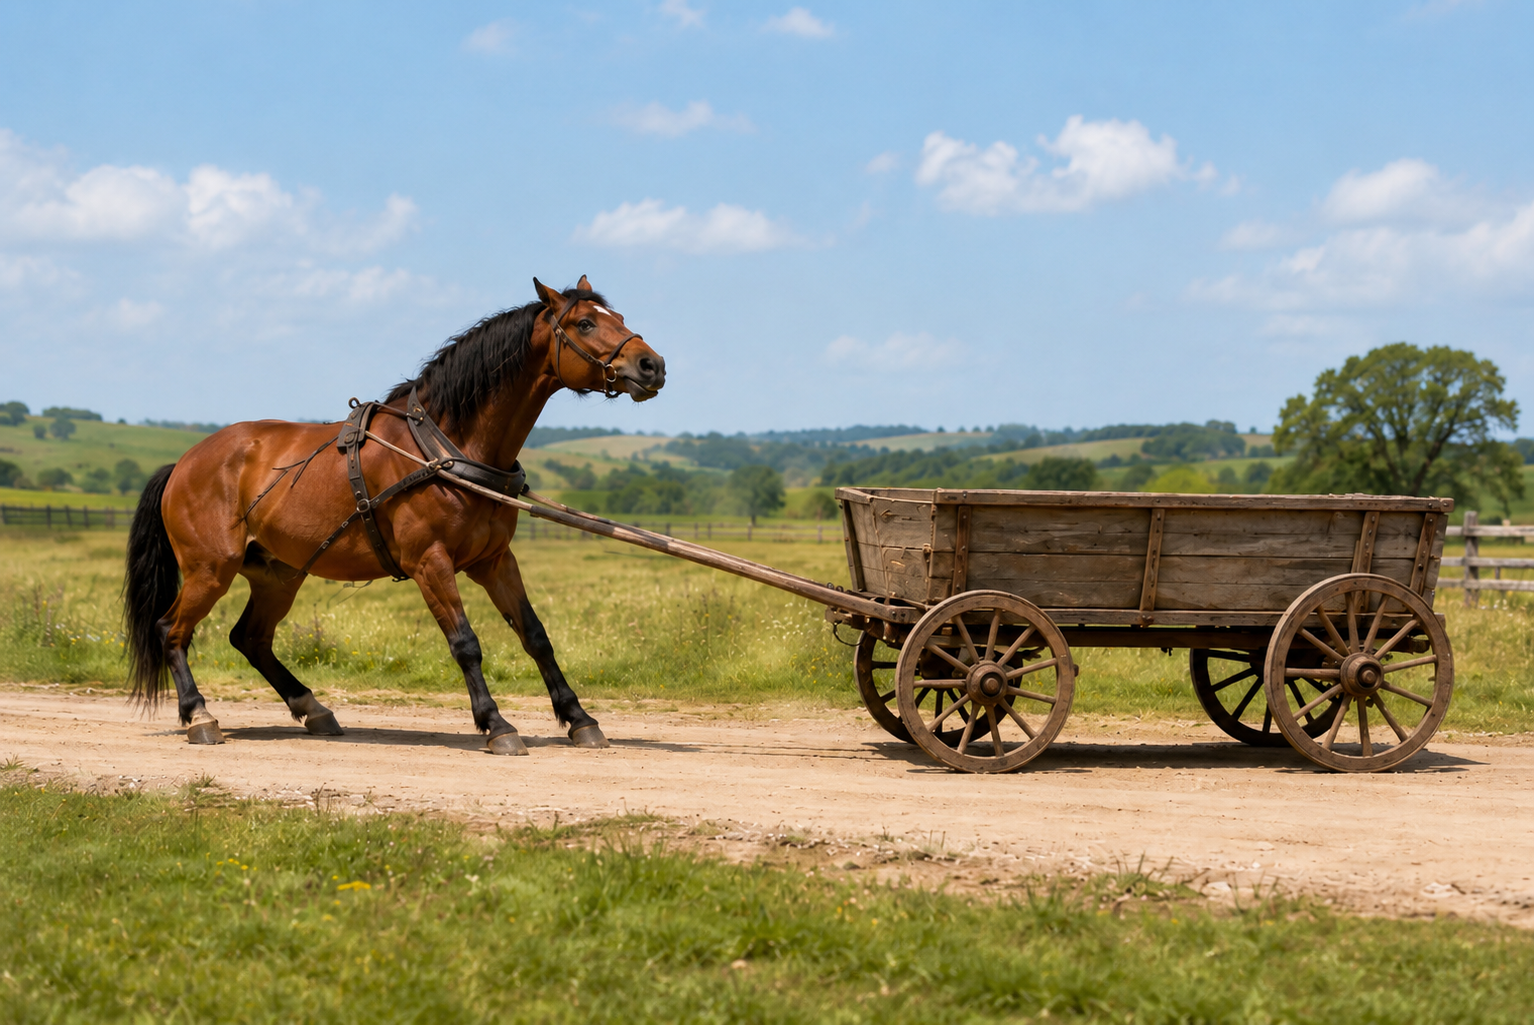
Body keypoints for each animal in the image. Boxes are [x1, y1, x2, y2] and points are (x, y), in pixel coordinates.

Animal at [122, 276, 666, 754]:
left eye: (617, 318)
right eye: (584, 324)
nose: (652, 365)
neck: (446, 445)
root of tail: (184, 463)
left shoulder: (494, 561)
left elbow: (535, 636)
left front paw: (579, 719)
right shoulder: (430, 562)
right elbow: (465, 643)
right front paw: (496, 725)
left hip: (279, 575)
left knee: (250, 638)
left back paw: (313, 709)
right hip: (211, 569)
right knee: (171, 631)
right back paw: (199, 715)